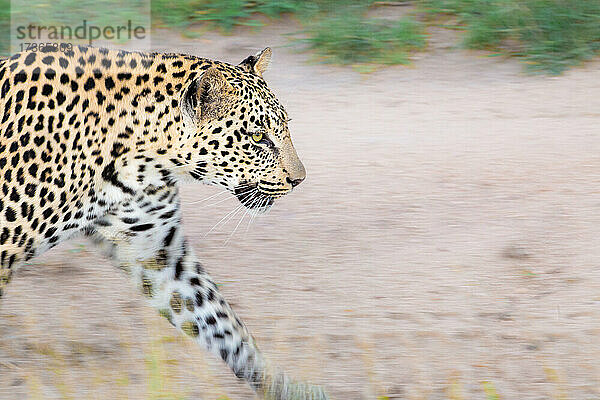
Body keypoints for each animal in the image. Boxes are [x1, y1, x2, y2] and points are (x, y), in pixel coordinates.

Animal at [0, 44, 328, 400]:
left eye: (285, 127)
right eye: (257, 136)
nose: (299, 179)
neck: (143, 163)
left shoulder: (157, 251)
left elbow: (221, 322)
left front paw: (284, 387)